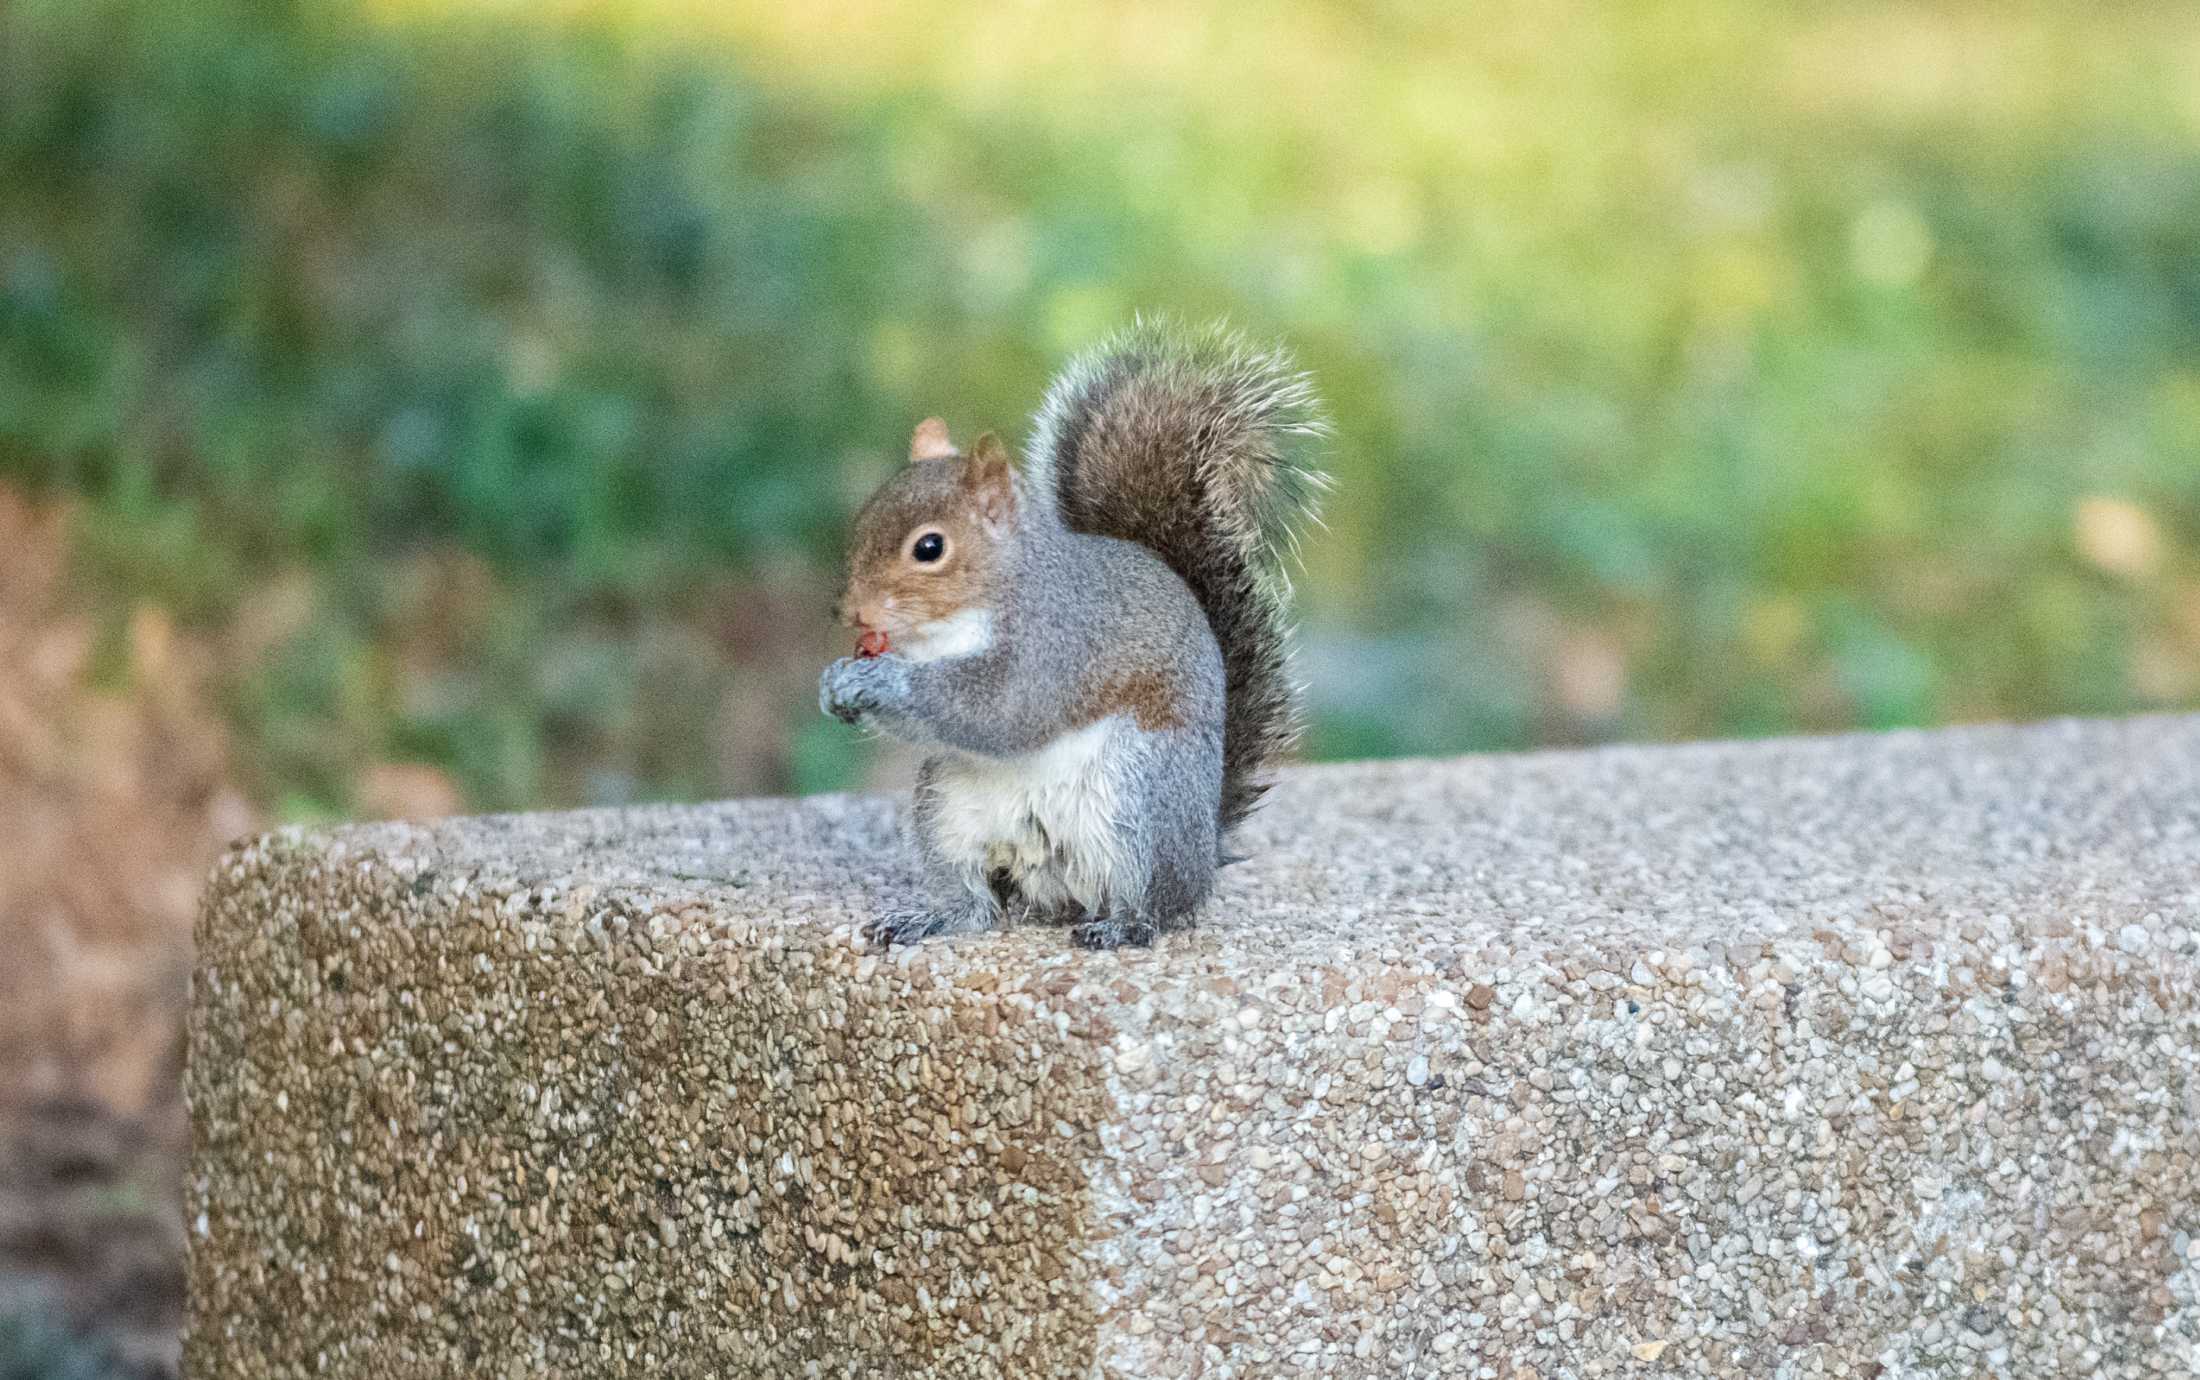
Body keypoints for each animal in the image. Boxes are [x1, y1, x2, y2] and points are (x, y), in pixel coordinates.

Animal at [822, 323, 1320, 950]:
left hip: (1138, 802)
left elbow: (998, 711)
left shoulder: (1057, 649)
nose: (849, 613)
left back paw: (1125, 926)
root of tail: (1205, 850)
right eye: (864, 517)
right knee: (976, 903)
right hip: (946, 812)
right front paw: (836, 681)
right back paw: (933, 917)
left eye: (929, 547)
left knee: (1156, 902)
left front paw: (882, 682)